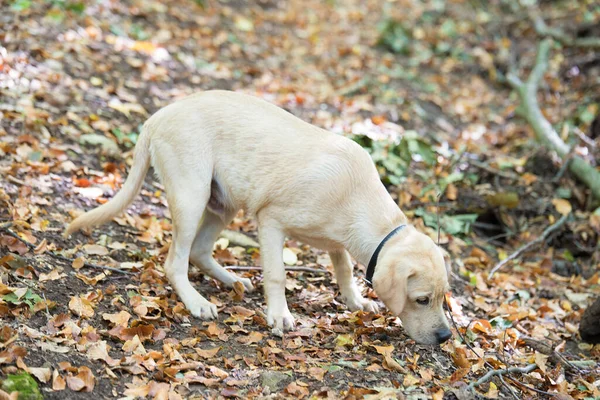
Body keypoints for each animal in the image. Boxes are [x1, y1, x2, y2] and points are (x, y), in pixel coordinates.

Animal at [65, 90, 450, 344]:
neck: (357, 198)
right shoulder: (271, 221)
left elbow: (343, 269)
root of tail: (158, 115)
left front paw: (355, 300)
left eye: (443, 297)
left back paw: (232, 280)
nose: (446, 336)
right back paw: (197, 302)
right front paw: (279, 315)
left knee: (199, 251)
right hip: (192, 196)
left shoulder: (335, 241)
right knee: (175, 261)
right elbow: (277, 275)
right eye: (421, 300)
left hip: (223, 203)